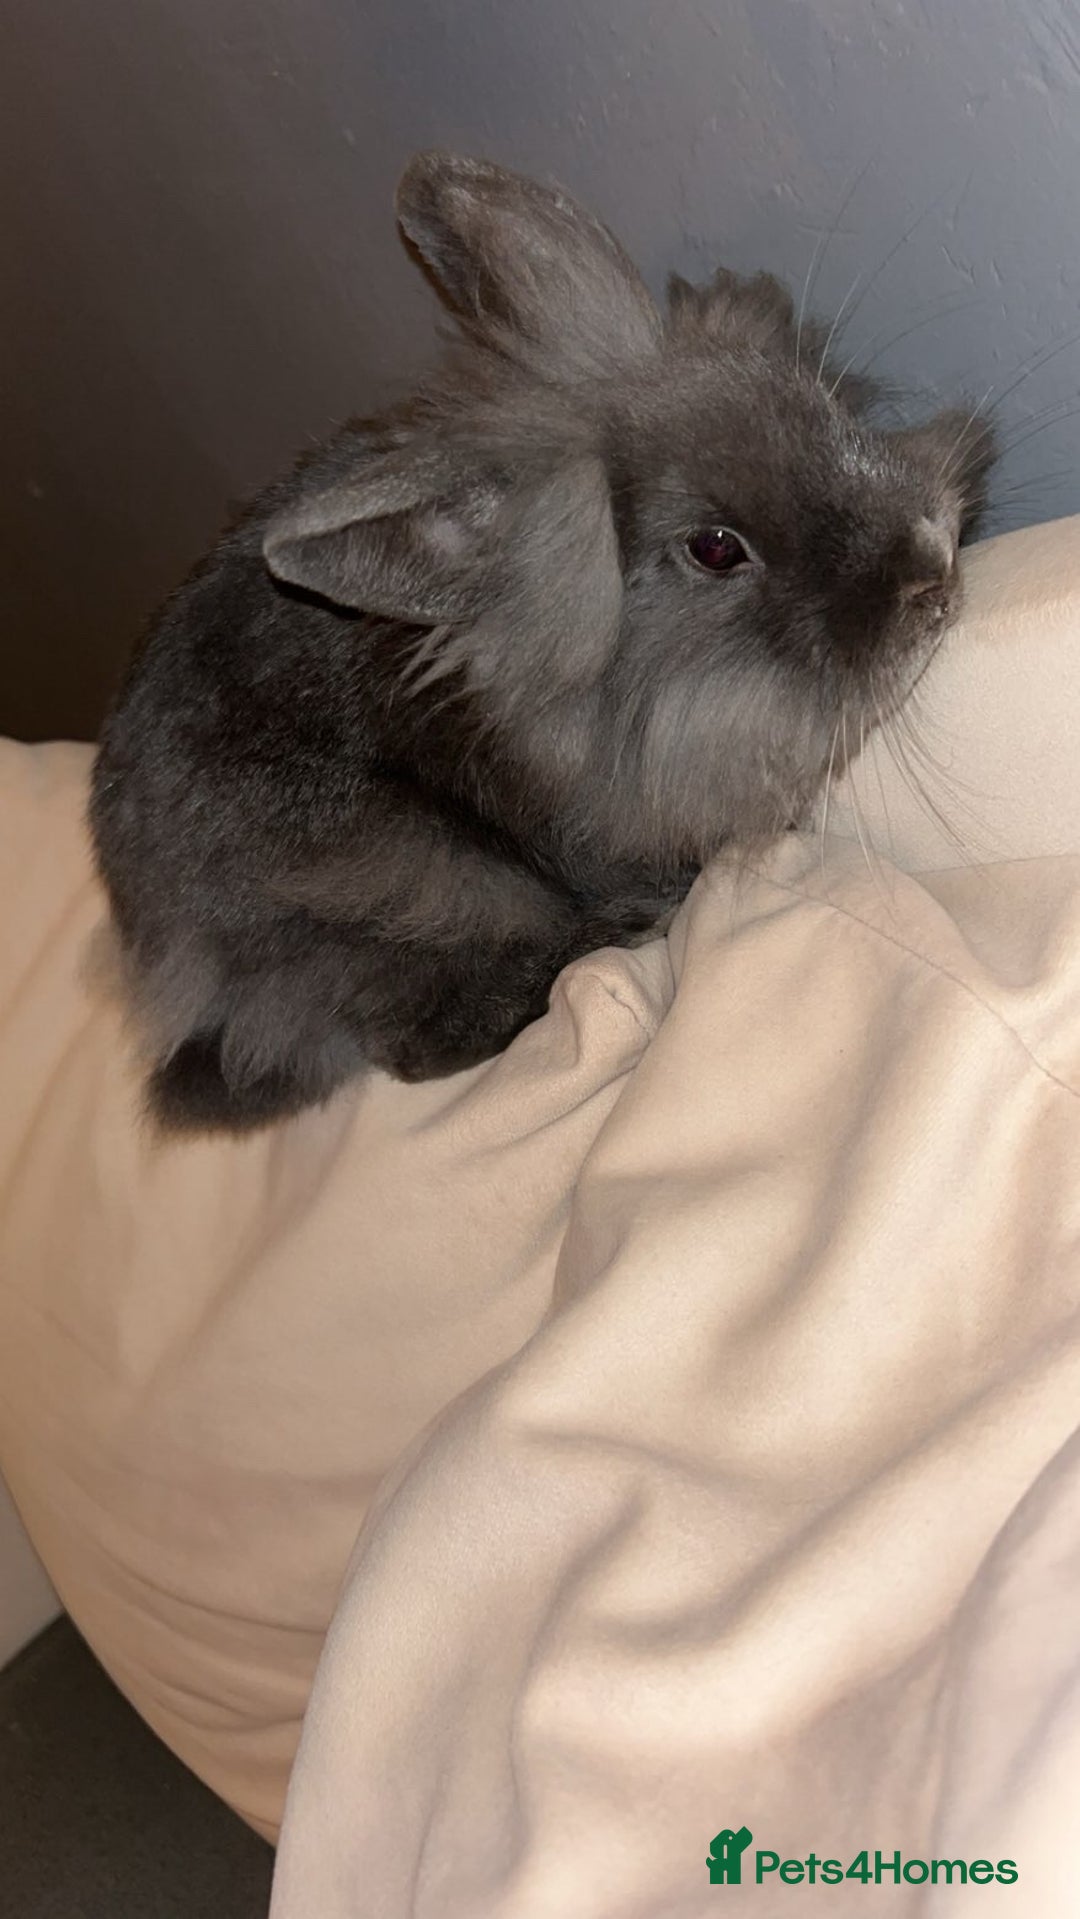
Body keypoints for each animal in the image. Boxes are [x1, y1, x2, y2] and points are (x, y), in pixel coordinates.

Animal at [89, 150, 995, 1134]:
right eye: (716, 548)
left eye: (821, 405)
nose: (932, 573)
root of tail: (170, 973)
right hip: (410, 878)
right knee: (414, 1038)